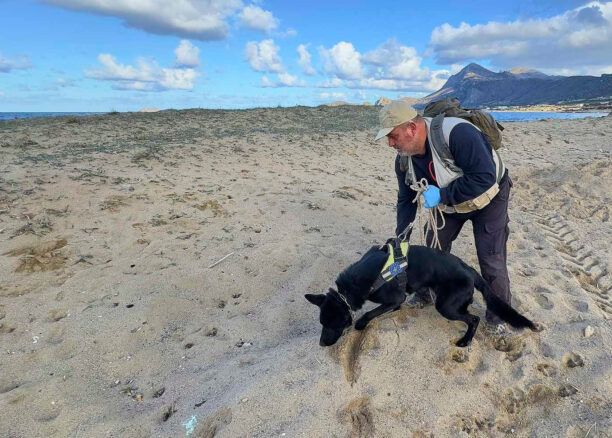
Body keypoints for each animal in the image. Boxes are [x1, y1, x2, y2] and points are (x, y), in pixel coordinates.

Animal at [306, 241, 536, 348]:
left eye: (332, 324)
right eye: (321, 323)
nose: (321, 344)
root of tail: (470, 270)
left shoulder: (394, 297)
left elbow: (370, 313)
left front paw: (361, 324)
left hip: (446, 306)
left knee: (474, 318)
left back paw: (465, 341)